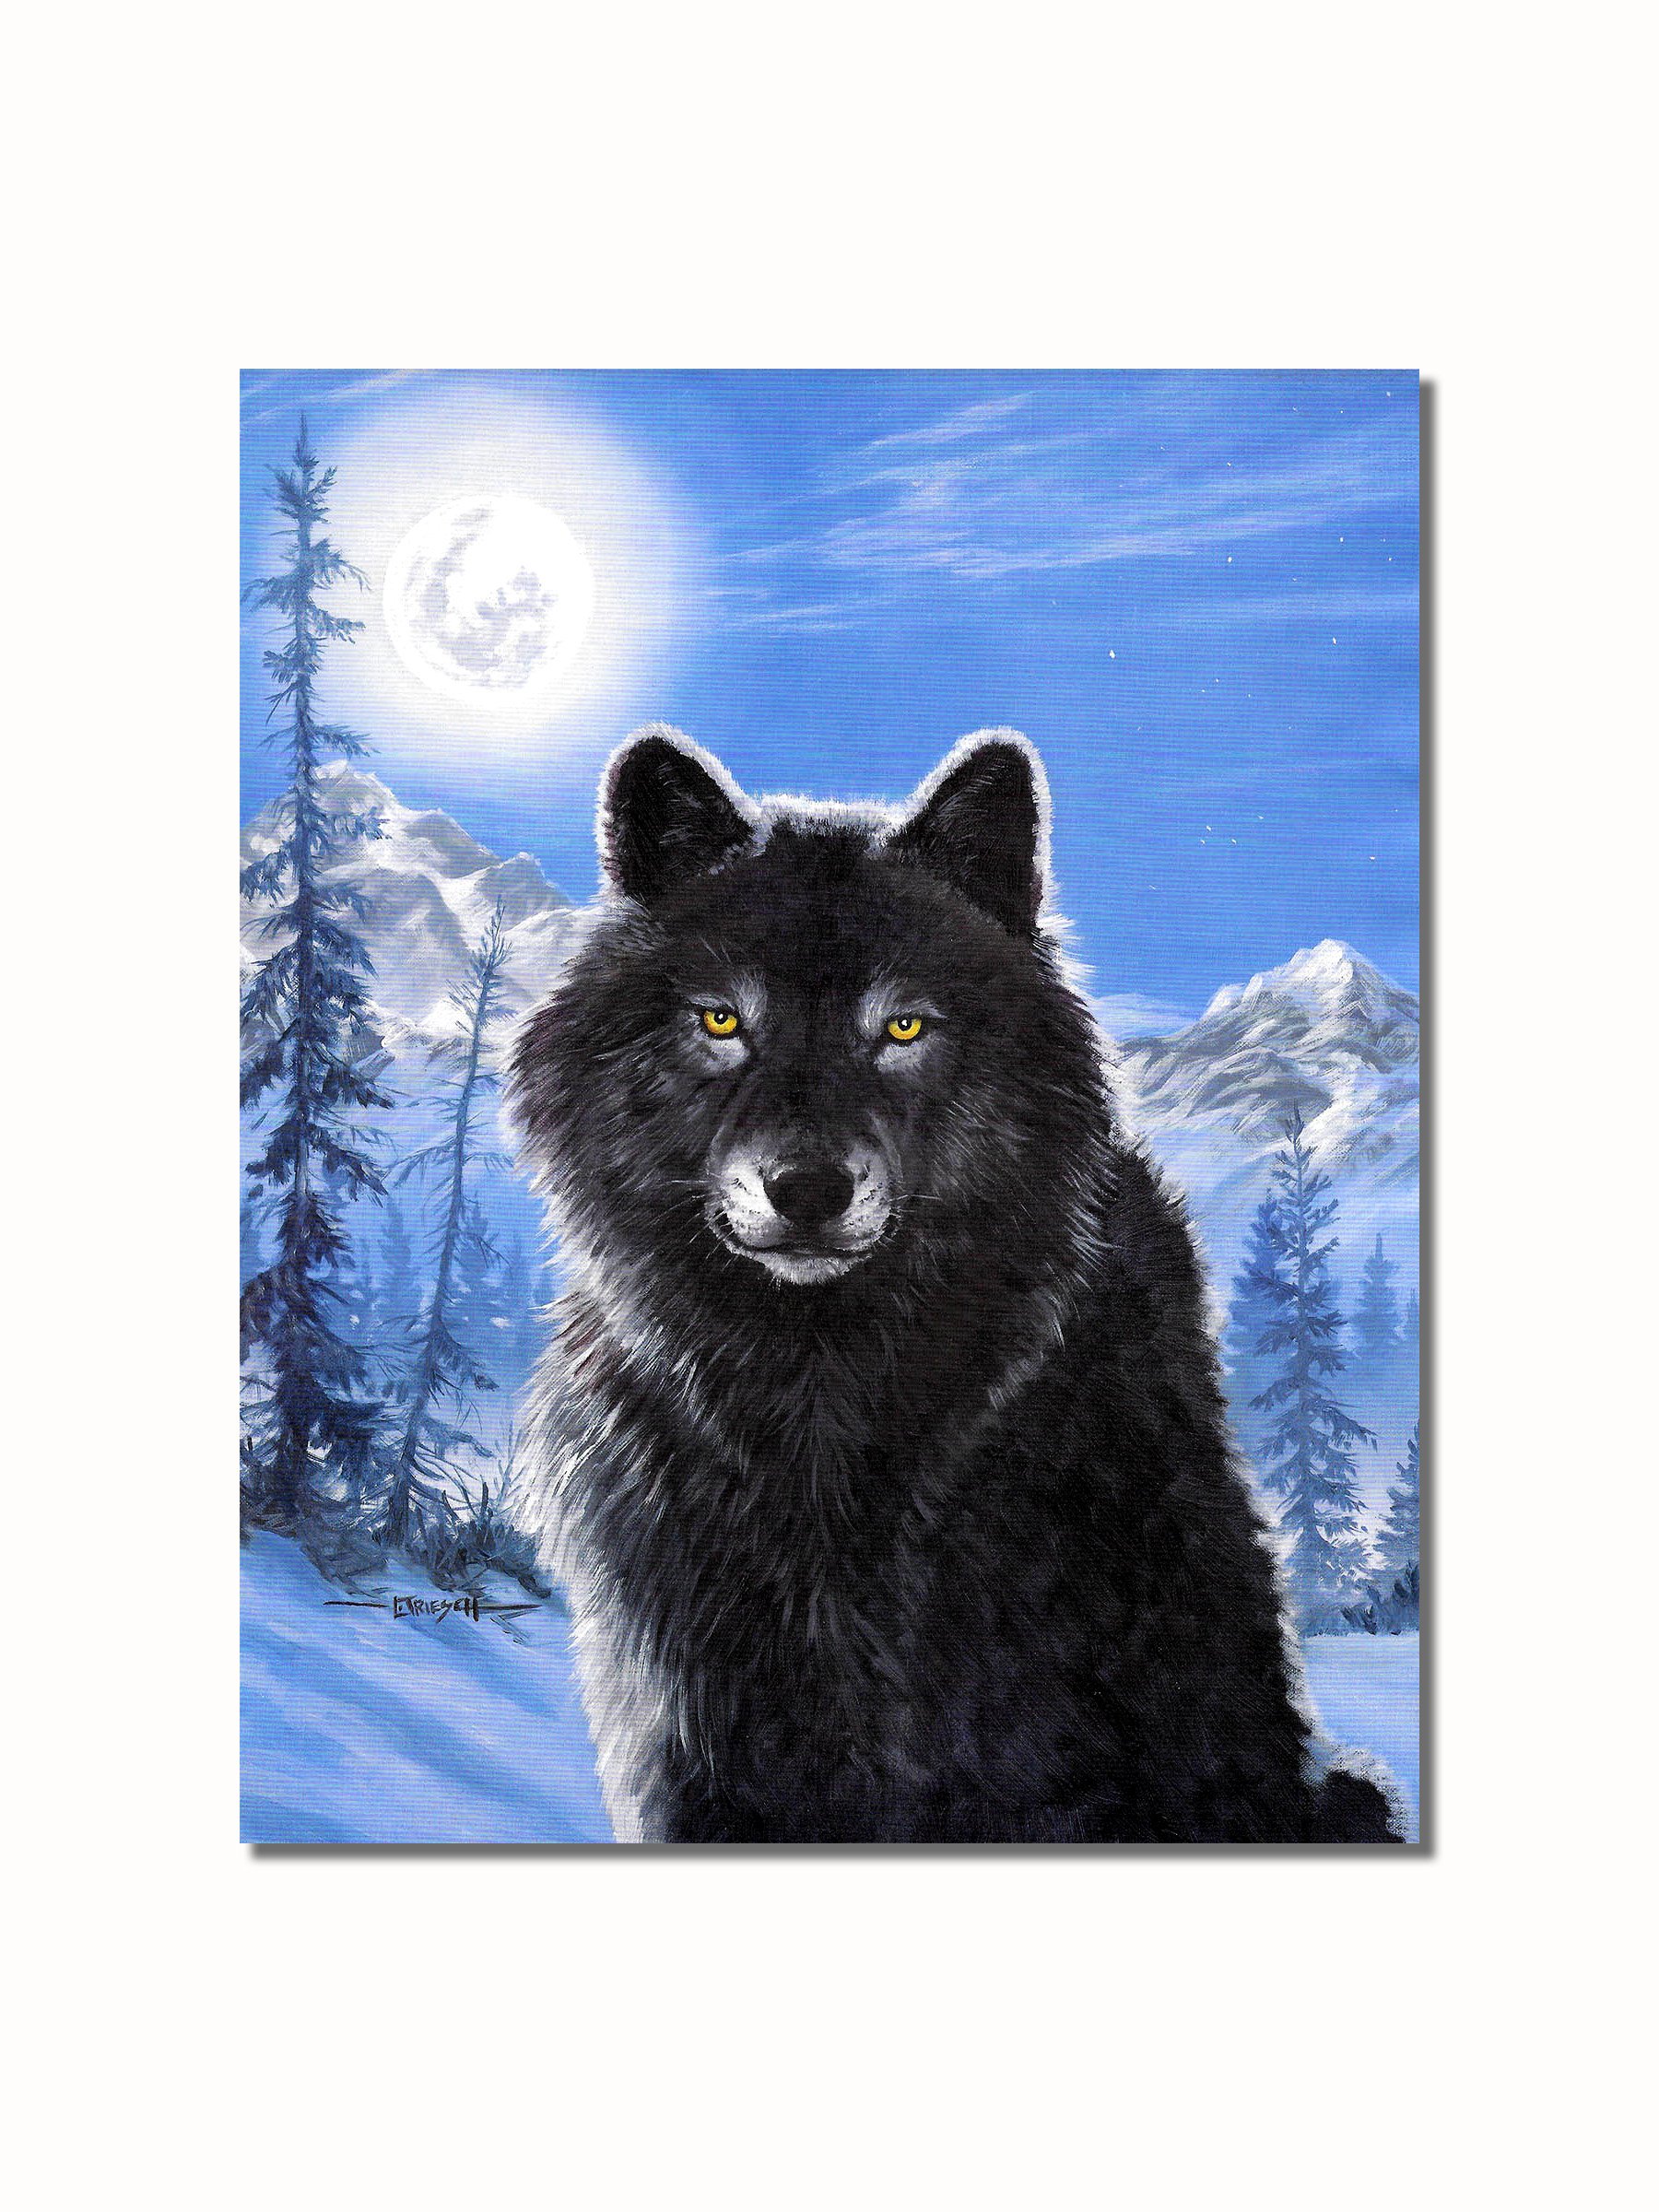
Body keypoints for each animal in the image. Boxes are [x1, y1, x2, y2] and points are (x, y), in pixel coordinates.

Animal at [510, 726, 1404, 1844]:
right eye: (721, 1021)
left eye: (902, 1029)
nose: (808, 1189)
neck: (821, 1408)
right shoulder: (697, 1732)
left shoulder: (1019, 1747)